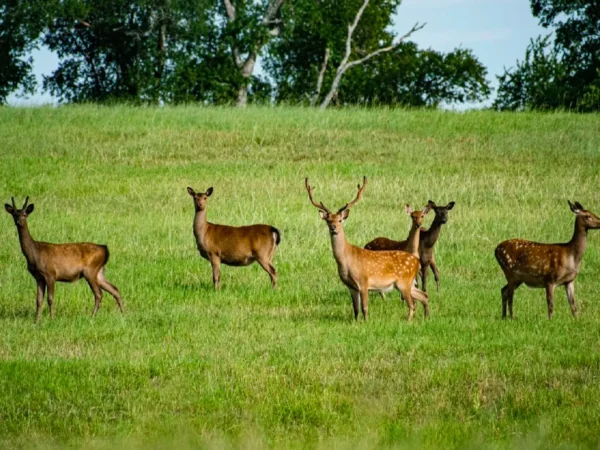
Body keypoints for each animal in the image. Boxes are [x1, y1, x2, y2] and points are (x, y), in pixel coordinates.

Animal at [304, 178, 426, 322]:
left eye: (340, 220)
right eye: (328, 220)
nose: (333, 227)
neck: (346, 261)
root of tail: (417, 261)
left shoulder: (363, 281)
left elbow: (365, 308)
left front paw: (366, 322)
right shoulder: (351, 286)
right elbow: (356, 309)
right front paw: (356, 322)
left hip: (404, 282)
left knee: (412, 304)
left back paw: (408, 321)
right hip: (410, 283)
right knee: (424, 296)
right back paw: (427, 317)